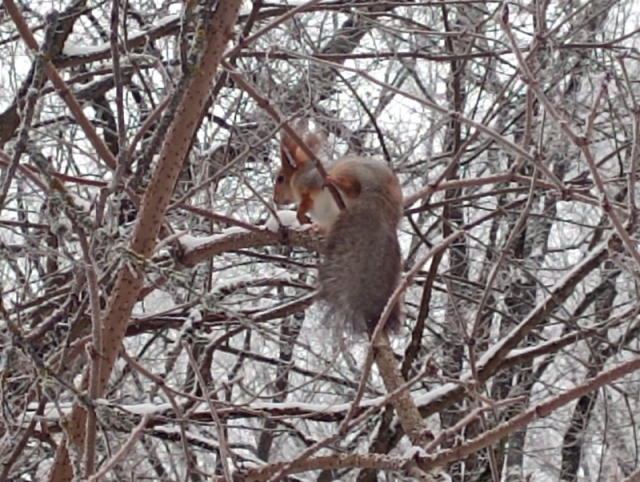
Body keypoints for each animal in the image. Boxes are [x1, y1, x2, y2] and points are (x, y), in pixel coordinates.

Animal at [272, 119, 402, 336]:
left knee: (352, 187)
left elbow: (304, 204)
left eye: (280, 178)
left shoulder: (309, 184)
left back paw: (335, 181)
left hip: (347, 174)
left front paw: (302, 217)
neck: (300, 173)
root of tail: (376, 193)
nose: (275, 200)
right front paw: (313, 228)